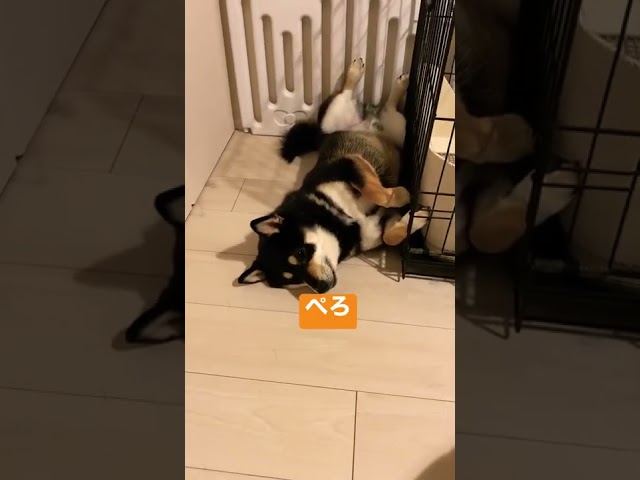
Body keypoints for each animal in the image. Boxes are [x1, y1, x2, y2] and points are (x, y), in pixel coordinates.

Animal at [237, 58, 427, 293]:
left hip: (335, 120)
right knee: (387, 108)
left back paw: (364, 73)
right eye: (292, 279)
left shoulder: (348, 163)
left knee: (349, 95)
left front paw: (402, 195)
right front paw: (418, 217)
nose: (321, 287)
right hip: (395, 129)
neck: (340, 224)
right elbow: (390, 236)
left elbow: (379, 194)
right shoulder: (378, 224)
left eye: (300, 253)